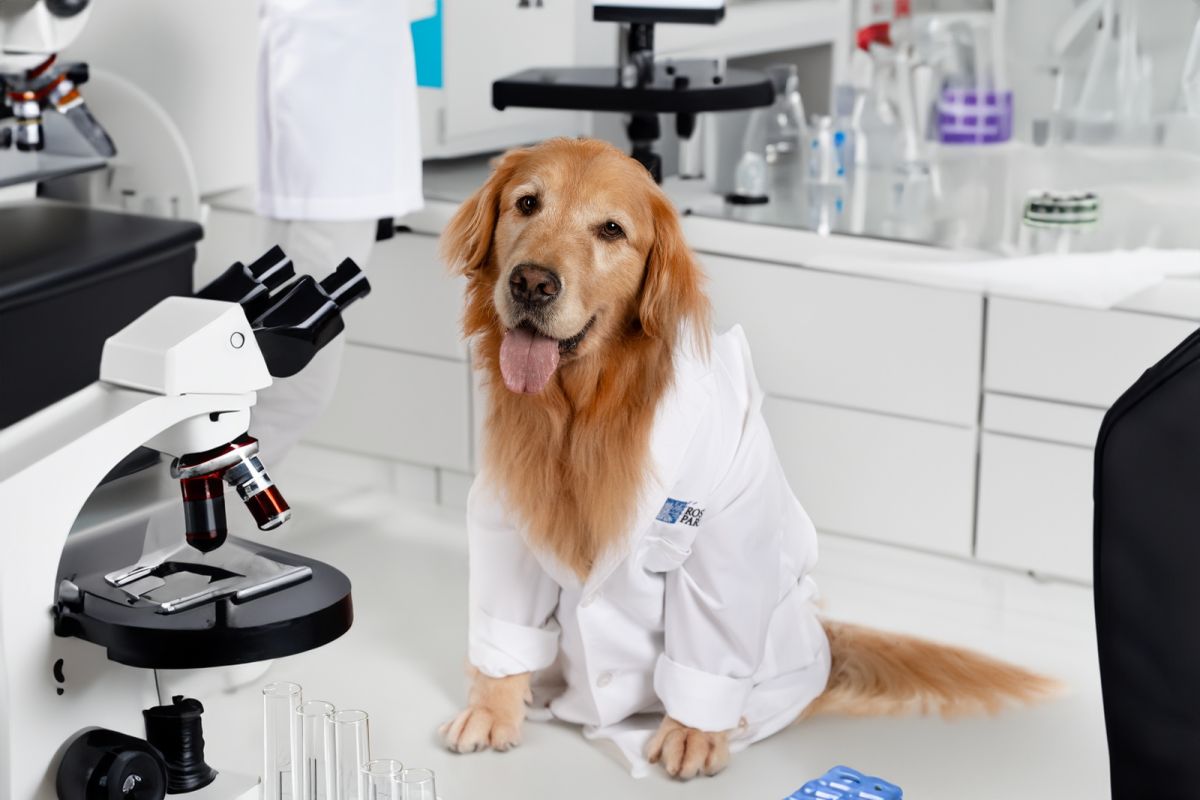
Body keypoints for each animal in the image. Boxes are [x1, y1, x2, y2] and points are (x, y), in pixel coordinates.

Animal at [439, 139, 1051, 782]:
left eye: (611, 230)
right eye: (527, 203)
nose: (532, 283)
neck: (590, 407)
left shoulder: (724, 540)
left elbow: (709, 639)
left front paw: (691, 732)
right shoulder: (507, 522)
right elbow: (505, 618)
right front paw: (493, 708)